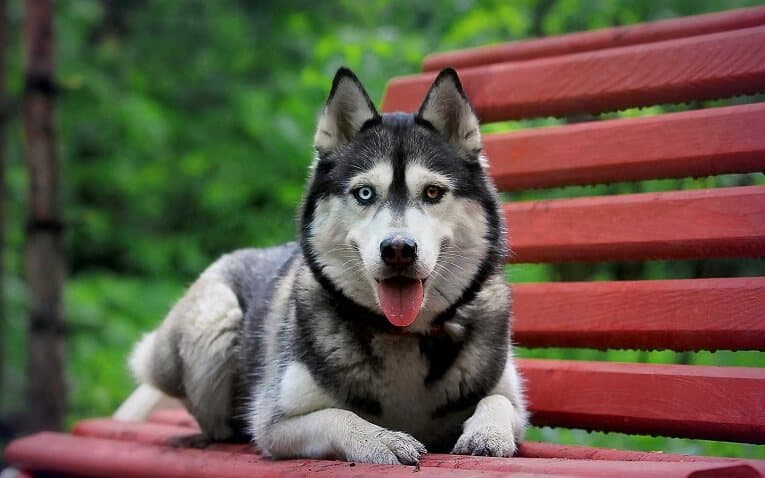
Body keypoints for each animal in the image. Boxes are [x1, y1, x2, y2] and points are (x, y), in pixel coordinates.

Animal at [130, 66, 524, 464]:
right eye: (364, 193)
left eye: (432, 192)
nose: (398, 249)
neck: (402, 335)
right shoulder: (275, 423)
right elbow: (338, 415)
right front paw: (380, 439)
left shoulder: (512, 398)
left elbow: (497, 400)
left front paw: (487, 432)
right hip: (215, 317)